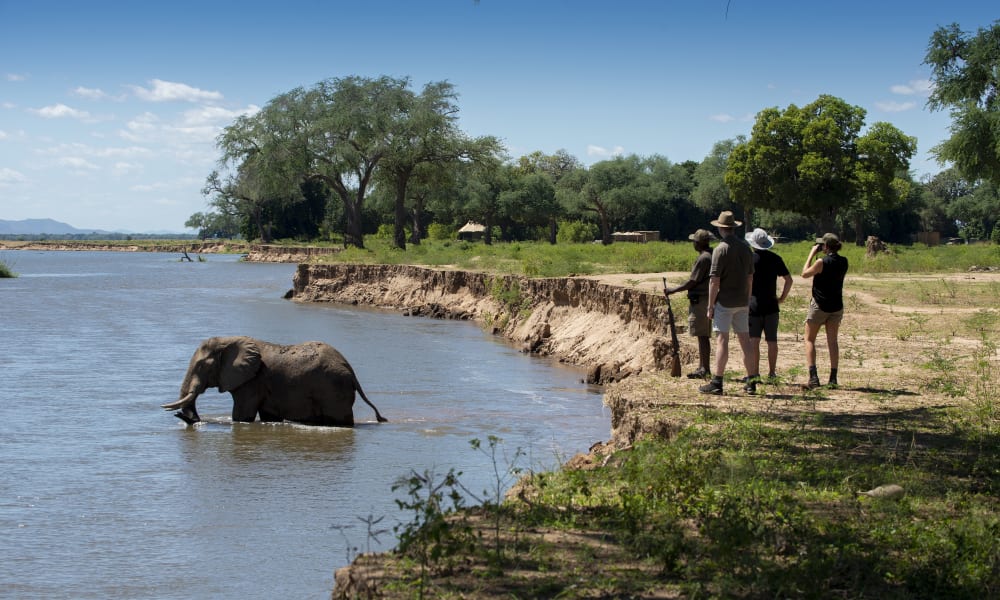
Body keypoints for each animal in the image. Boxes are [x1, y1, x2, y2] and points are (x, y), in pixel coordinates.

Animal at [160, 336, 388, 427]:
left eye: (201, 366)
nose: (181, 416)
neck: (229, 340)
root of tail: (350, 369)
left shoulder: (252, 381)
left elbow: (242, 416)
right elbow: (268, 415)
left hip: (333, 389)